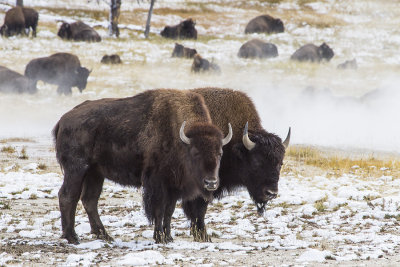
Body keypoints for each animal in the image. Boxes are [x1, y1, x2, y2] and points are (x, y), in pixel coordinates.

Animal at [53, 89, 234, 245]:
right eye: (195, 152)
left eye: (220, 153)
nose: (211, 183)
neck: (180, 139)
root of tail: (63, 120)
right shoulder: (158, 185)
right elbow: (159, 210)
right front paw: (160, 237)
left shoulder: (173, 187)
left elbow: (169, 211)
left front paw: (168, 237)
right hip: (76, 170)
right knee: (68, 196)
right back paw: (72, 237)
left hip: (95, 173)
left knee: (90, 200)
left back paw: (104, 235)